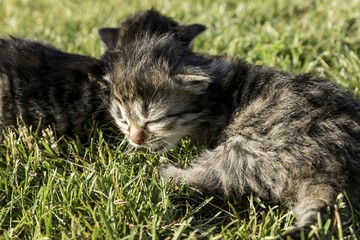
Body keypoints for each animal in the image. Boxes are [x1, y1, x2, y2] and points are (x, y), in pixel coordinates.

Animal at [100, 9, 360, 238]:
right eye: (123, 119)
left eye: (154, 119)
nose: (136, 140)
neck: (215, 95)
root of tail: (336, 172)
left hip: (247, 148)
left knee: (214, 175)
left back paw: (168, 175)